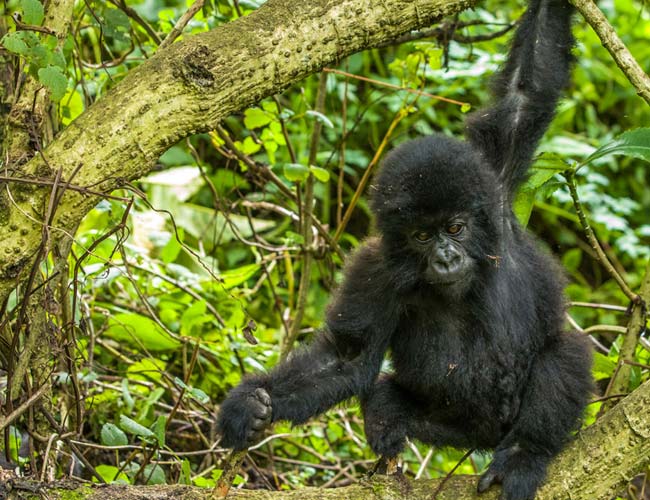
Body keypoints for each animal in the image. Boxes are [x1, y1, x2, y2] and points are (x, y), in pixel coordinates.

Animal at [215, 0, 588, 500]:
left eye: (456, 227)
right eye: (422, 237)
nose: (446, 258)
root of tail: (489, 436)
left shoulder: (493, 184)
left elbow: (526, 92)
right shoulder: (375, 269)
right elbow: (348, 356)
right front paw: (252, 405)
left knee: (566, 351)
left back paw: (524, 454)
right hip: (455, 430)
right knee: (383, 399)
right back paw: (389, 442)